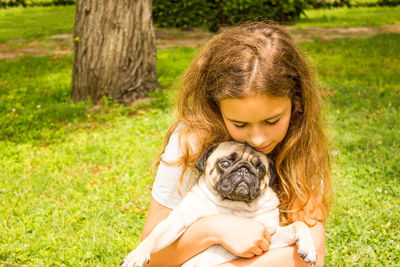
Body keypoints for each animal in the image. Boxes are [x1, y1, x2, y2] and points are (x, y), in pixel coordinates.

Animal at [120, 141, 318, 266]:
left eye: (260, 169)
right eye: (225, 163)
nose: (245, 169)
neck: (234, 206)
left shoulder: (269, 236)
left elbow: (299, 225)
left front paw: (308, 247)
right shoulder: (177, 220)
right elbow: (152, 237)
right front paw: (137, 255)